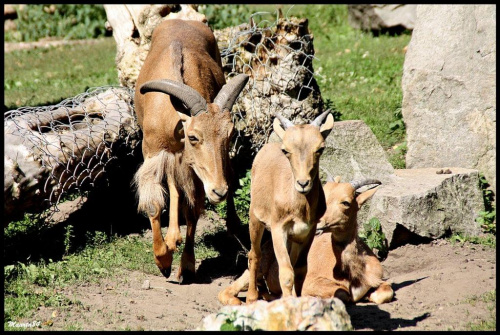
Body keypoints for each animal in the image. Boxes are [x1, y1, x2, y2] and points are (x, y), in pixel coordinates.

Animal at [134, 19, 249, 284]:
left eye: (230, 135)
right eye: (194, 136)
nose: (218, 191)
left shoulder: (196, 168)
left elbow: (193, 210)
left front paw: (185, 266)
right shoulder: (154, 154)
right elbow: (155, 203)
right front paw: (163, 260)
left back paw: (232, 226)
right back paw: (172, 236)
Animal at [219, 177, 394, 306]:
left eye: (346, 202)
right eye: (323, 196)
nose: (318, 222)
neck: (354, 274)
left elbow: (386, 293)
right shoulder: (313, 283)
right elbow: (342, 295)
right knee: (228, 290)